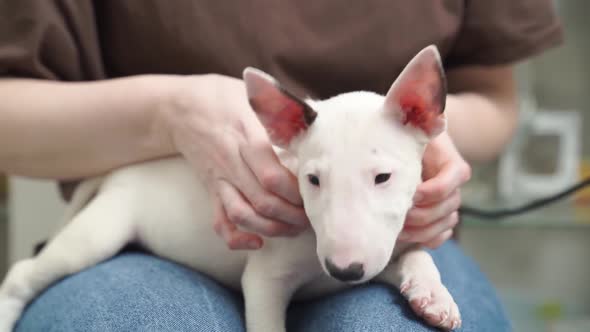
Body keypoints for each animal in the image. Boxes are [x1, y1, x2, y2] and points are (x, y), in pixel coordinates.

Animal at [0, 45, 462, 330]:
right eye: (312, 180)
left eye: (383, 177)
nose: (344, 271)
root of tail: (121, 171)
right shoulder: (263, 280)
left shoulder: (380, 250)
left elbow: (416, 253)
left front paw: (433, 295)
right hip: (100, 232)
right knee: (26, 272)